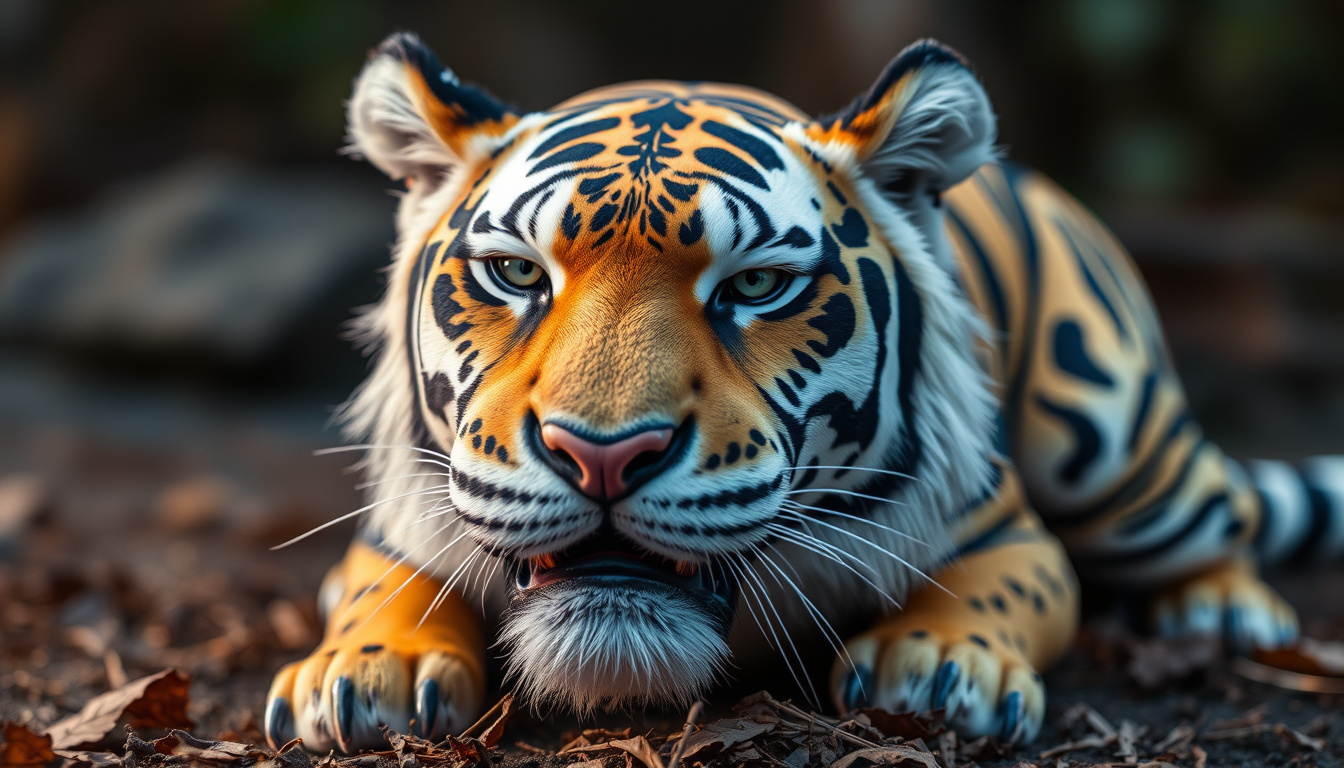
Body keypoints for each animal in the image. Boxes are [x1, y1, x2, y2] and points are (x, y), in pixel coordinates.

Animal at [263, 32, 1344, 752]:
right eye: (518, 274)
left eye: (755, 286)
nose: (602, 455)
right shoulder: (405, 518)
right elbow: (385, 583)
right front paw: (369, 670)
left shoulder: (1008, 531)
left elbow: (1003, 586)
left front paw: (942, 666)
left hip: (1116, 447)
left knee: (1221, 515)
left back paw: (1223, 613)